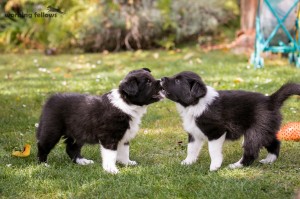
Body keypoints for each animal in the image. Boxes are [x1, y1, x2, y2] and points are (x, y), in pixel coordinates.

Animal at [162, 71, 300, 171]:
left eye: (178, 80)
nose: (162, 79)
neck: (196, 103)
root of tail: (271, 100)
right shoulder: (194, 133)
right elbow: (191, 149)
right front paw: (187, 162)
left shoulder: (216, 132)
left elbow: (213, 150)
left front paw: (215, 166)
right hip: (266, 129)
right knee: (274, 142)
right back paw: (269, 160)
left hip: (254, 132)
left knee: (251, 151)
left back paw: (236, 165)